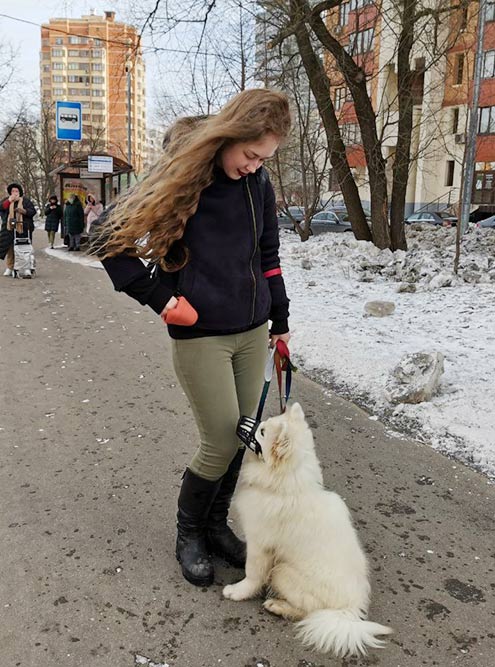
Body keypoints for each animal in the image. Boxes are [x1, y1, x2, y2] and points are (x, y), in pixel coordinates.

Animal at [224, 402, 392, 656]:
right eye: (263, 424)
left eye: (262, 432)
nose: (241, 418)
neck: (286, 486)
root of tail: (349, 610)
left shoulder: (260, 545)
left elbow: (252, 574)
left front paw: (236, 592)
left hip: (283, 572)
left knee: (308, 612)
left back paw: (277, 606)